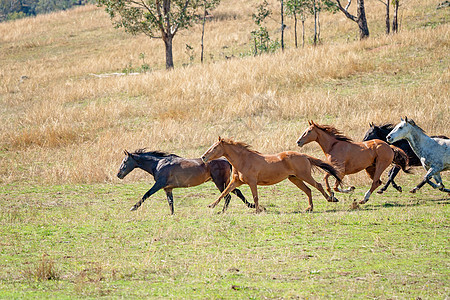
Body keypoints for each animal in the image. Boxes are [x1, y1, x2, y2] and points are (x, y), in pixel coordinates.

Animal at [116, 149, 255, 214]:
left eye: (125, 161)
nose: (118, 174)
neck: (158, 164)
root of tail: (226, 160)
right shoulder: (168, 188)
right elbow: (170, 202)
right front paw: (172, 214)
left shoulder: (159, 184)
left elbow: (146, 194)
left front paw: (133, 207)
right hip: (225, 182)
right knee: (236, 192)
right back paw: (251, 205)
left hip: (220, 182)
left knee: (227, 196)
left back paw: (222, 211)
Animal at [200, 137, 342, 212]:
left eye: (214, 147)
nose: (203, 157)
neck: (243, 160)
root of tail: (303, 155)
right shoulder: (235, 181)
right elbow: (224, 193)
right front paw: (211, 205)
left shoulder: (252, 182)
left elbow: (255, 197)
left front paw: (258, 210)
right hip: (294, 178)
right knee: (308, 190)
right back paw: (309, 208)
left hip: (304, 175)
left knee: (318, 185)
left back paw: (331, 199)